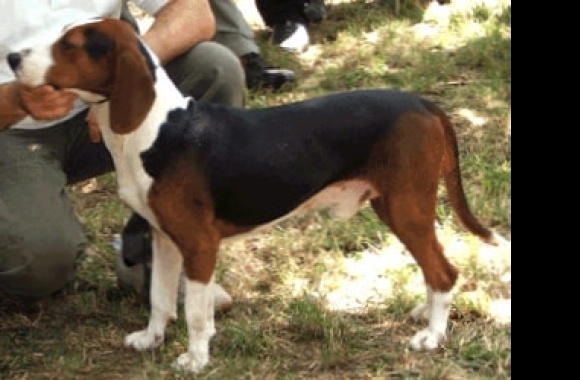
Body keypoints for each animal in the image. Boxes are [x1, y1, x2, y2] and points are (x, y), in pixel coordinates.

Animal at [5, 18, 498, 374]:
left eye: (71, 45)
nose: (10, 57)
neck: (157, 129)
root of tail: (422, 103)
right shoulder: (163, 239)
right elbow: (161, 299)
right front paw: (151, 339)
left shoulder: (199, 245)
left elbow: (196, 312)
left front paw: (195, 359)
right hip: (393, 206)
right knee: (434, 271)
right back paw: (423, 313)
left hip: (405, 206)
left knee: (444, 271)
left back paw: (432, 336)